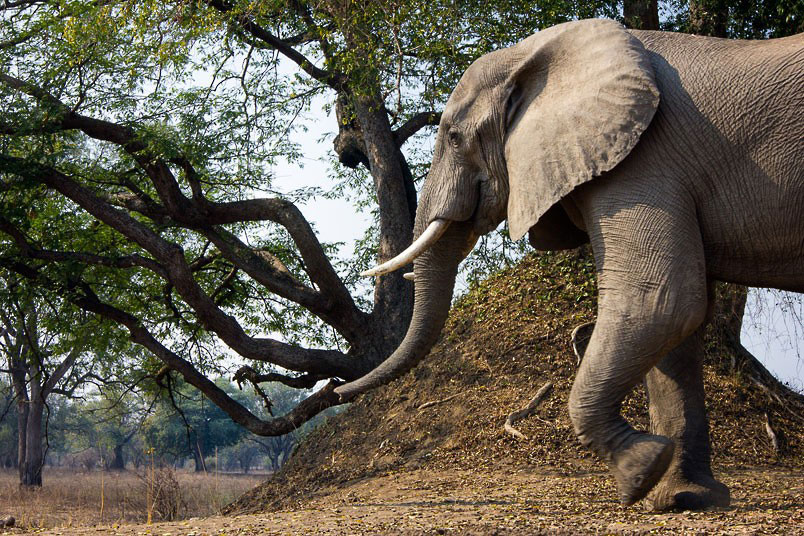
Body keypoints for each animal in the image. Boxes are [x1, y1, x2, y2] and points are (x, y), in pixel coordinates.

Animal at [334, 17, 804, 510]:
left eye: (455, 138)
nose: (334, 390)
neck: (534, 52)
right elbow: (679, 323)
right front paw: (679, 498)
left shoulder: (644, 161)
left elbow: (661, 299)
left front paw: (640, 472)